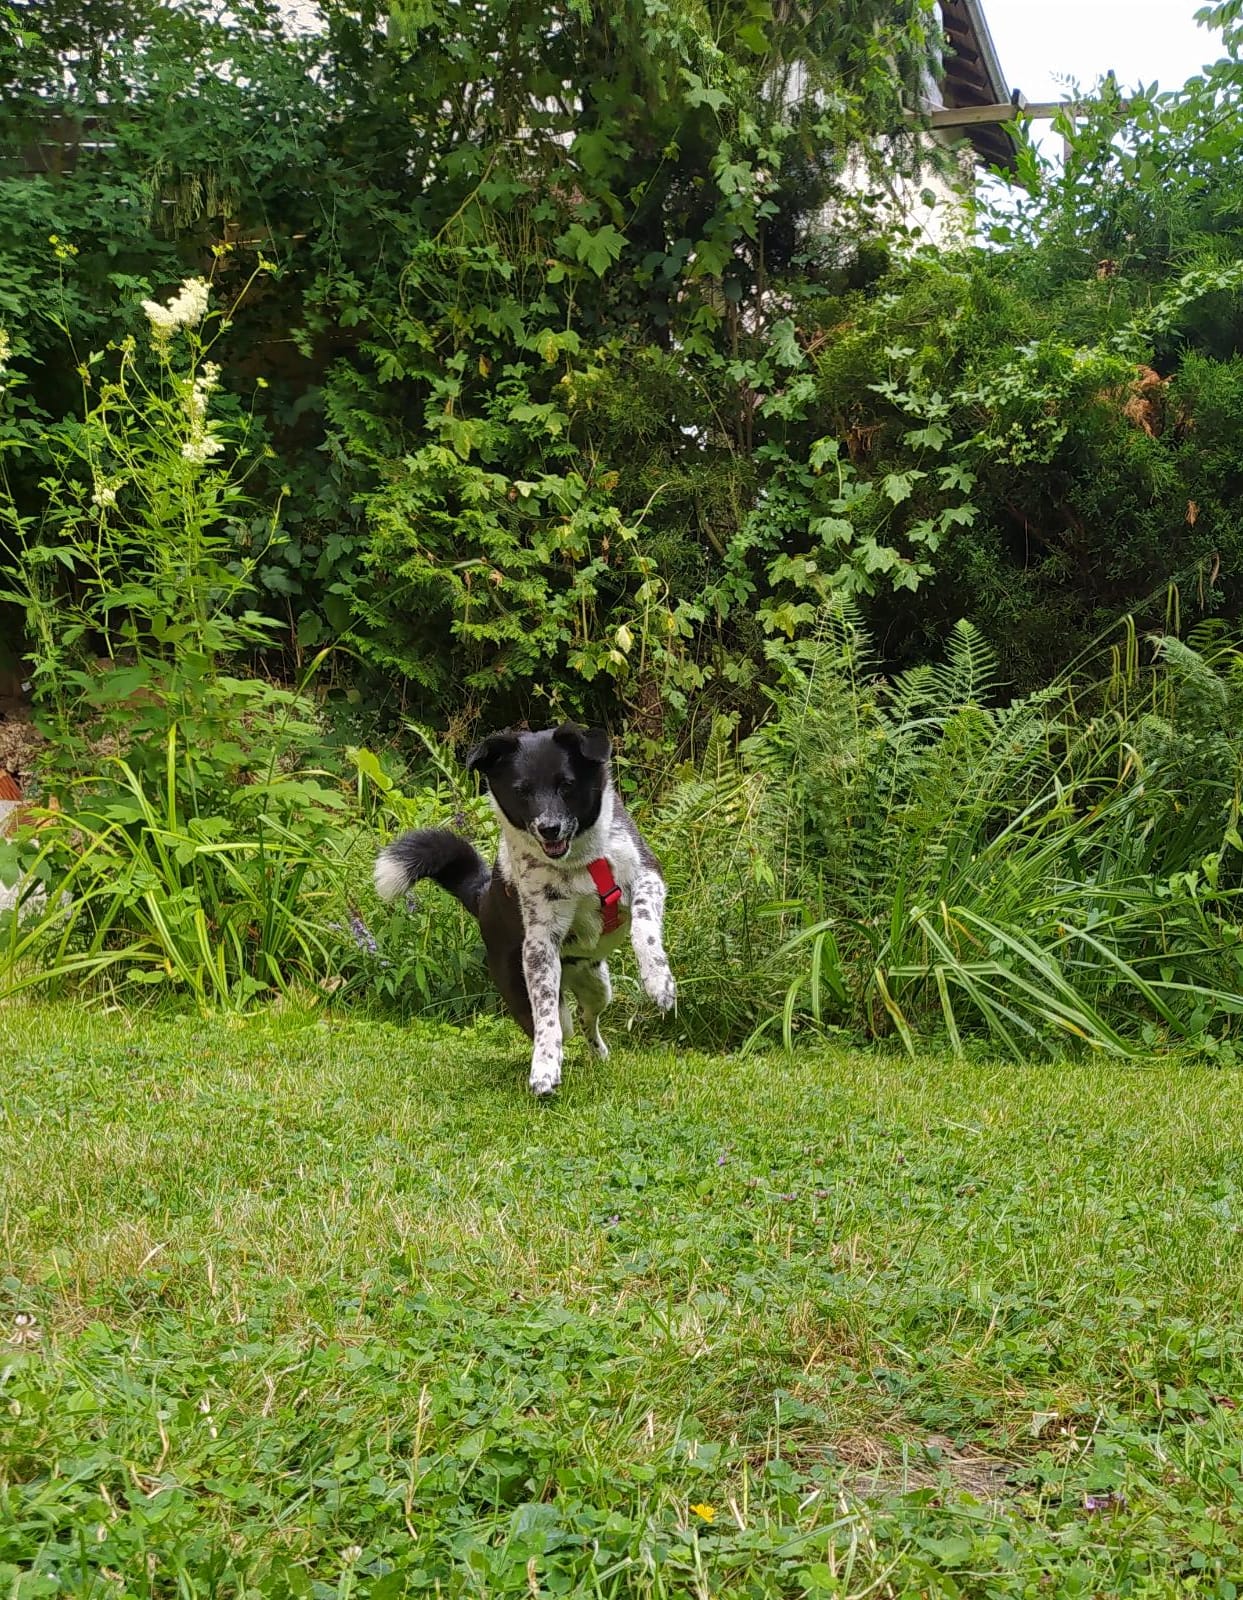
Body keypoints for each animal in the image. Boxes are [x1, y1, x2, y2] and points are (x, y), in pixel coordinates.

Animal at [372, 732, 675, 1094]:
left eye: (567, 784)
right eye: (521, 790)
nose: (549, 828)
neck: (577, 861)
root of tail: (482, 898)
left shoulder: (648, 876)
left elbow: (644, 927)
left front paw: (658, 980)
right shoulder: (540, 942)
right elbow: (546, 1018)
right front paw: (544, 1067)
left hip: (598, 986)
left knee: (589, 1018)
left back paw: (598, 1054)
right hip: (533, 991)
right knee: (564, 1024)